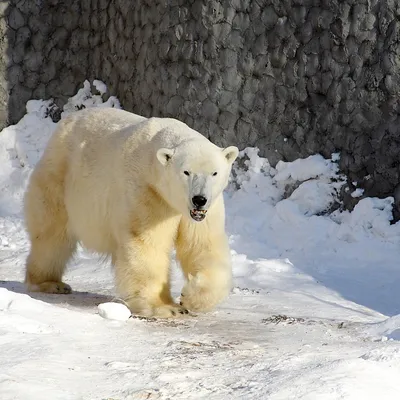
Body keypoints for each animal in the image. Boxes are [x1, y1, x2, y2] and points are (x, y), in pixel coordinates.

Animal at [23, 107, 238, 318]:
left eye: (214, 173)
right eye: (186, 172)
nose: (199, 199)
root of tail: (65, 122)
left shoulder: (204, 210)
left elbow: (203, 245)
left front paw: (192, 297)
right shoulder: (146, 191)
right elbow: (145, 243)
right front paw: (165, 307)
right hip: (60, 178)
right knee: (52, 233)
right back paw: (49, 283)